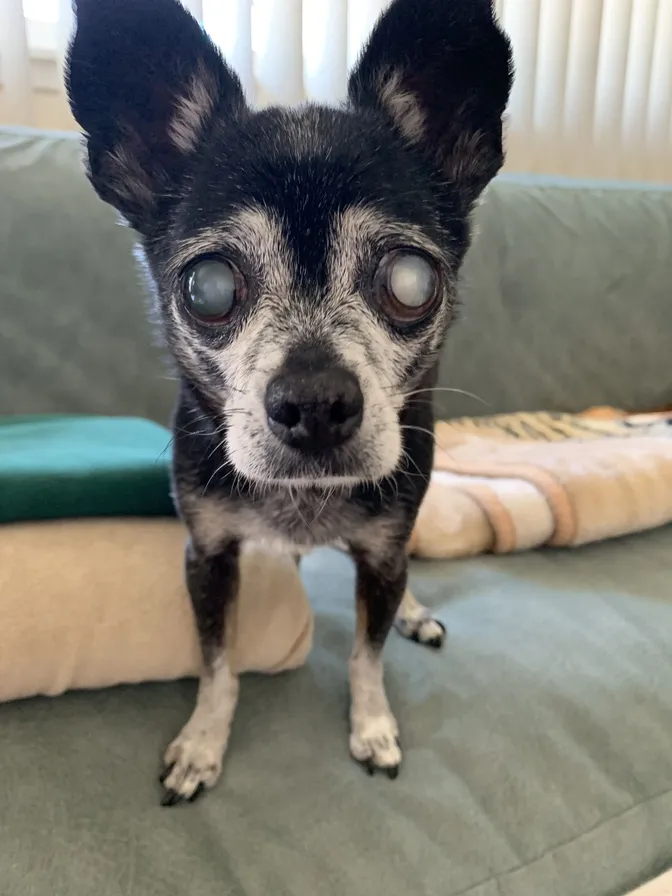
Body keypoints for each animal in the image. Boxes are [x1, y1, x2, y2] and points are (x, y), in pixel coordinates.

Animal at [65, 0, 512, 804]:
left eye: (412, 281)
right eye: (207, 287)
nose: (315, 400)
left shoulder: (381, 555)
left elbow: (366, 655)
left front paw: (372, 726)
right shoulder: (208, 557)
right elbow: (218, 667)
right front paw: (203, 743)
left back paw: (415, 612)